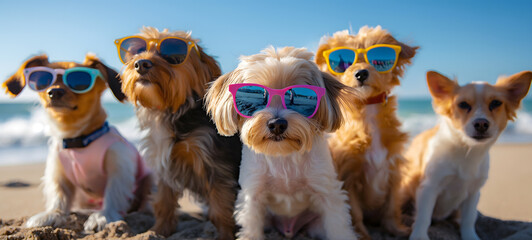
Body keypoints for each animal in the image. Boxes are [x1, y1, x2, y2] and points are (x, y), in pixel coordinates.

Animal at [2, 54, 152, 232]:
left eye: (79, 81)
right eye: (42, 80)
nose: (54, 92)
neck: (78, 141)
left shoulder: (119, 165)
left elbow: (113, 193)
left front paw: (102, 216)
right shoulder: (57, 171)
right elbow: (58, 194)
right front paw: (52, 214)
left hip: (151, 179)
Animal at [114, 26, 243, 238]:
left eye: (173, 53)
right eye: (137, 51)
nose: (141, 64)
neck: (171, 111)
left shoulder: (216, 165)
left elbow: (221, 209)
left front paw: (225, 235)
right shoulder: (165, 163)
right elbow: (164, 202)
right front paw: (157, 231)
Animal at [206, 46, 360, 239]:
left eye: (296, 97)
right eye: (258, 96)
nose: (277, 124)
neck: (283, 155)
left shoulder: (328, 193)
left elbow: (338, 227)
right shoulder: (252, 195)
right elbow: (251, 228)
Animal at [314, 25, 418, 239]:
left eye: (378, 59)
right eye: (344, 63)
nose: (361, 73)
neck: (368, 109)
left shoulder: (394, 170)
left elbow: (391, 206)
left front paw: (396, 229)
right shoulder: (348, 176)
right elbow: (355, 212)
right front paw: (362, 234)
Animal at [404, 70, 532, 239]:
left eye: (495, 103)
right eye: (463, 104)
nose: (481, 124)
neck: (466, 150)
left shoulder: (473, 193)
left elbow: (469, 219)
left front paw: (470, 236)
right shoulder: (428, 187)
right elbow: (423, 217)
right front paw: (419, 236)